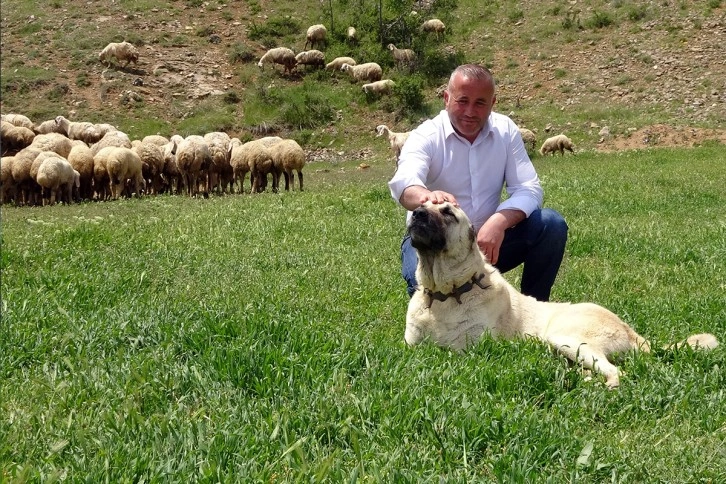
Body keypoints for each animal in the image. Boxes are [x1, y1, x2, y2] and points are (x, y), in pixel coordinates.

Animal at [406, 202, 720, 388]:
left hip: (567, 339)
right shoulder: (411, 347)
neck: (444, 295)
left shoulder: (468, 351)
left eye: (448, 212)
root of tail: (632, 332)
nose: (417, 213)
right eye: (421, 206)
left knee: (616, 373)